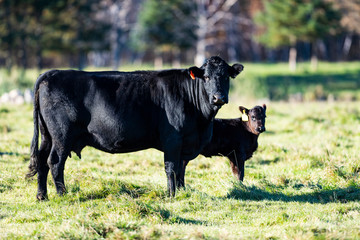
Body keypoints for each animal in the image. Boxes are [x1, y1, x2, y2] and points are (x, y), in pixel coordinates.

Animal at [26, 56, 243, 201]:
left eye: (226, 77)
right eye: (205, 77)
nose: (218, 97)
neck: (202, 123)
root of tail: (52, 73)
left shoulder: (186, 145)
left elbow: (181, 169)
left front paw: (182, 192)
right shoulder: (173, 140)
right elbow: (171, 168)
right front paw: (171, 195)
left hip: (47, 136)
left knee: (42, 161)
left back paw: (42, 196)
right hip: (62, 136)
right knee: (55, 162)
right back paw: (63, 195)